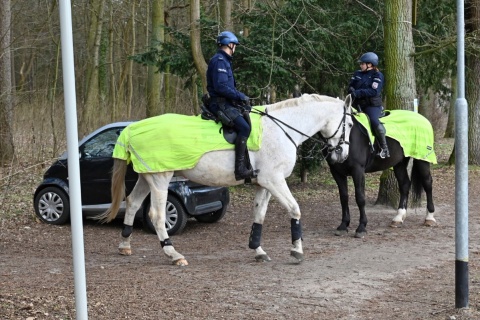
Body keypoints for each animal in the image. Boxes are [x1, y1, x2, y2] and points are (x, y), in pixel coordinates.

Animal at [96, 94, 352, 264]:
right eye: (349, 124)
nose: (342, 154)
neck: (281, 129)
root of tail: (133, 128)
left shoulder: (265, 184)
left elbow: (259, 215)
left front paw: (258, 250)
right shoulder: (275, 181)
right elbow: (295, 209)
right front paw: (297, 250)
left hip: (146, 176)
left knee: (132, 203)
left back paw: (125, 245)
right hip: (160, 179)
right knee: (157, 216)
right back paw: (174, 254)